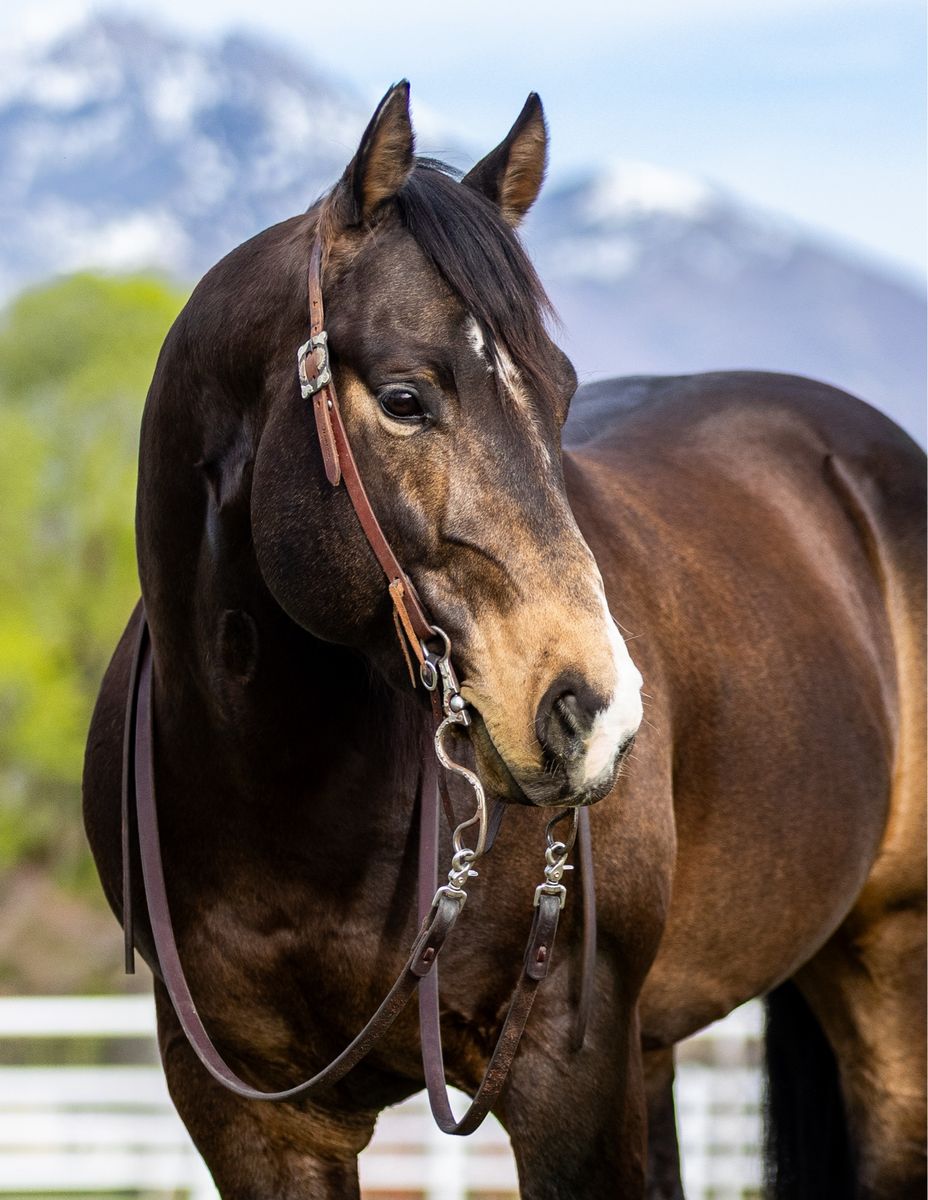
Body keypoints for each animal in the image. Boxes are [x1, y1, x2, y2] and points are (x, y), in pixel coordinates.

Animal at [83, 82, 926, 1199]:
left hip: (886, 979)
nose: (595, 714)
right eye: (405, 399)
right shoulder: (256, 1122)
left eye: (563, 395)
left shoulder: (570, 1077)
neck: (284, 798)